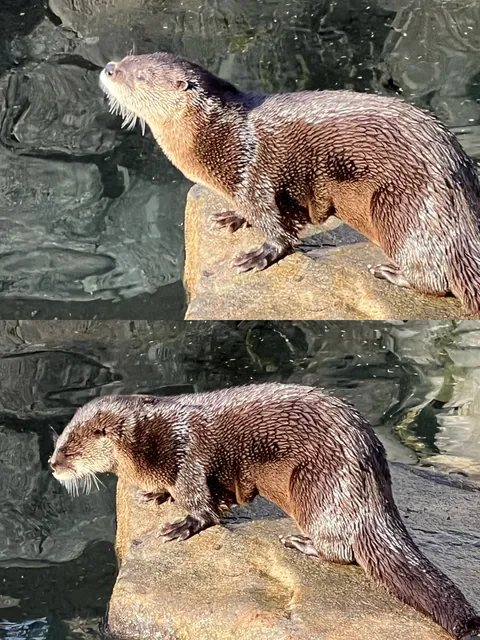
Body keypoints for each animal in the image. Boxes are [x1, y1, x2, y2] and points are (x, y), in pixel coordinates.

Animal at [50, 383, 479, 639]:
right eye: (57, 443)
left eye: (68, 449)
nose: (52, 465)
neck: (151, 440)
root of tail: (374, 484)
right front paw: (154, 495)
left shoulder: (187, 459)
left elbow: (204, 508)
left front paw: (182, 525)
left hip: (316, 485)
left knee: (342, 548)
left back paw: (300, 543)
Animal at [98, 52, 480, 314]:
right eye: (130, 57)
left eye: (141, 75)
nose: (109, 68)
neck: (220, 137)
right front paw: (231, 217)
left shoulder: (255, 175)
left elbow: (276, 226)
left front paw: (259, 255)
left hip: (403, 209)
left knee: (435, 279)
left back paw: (389, 272)